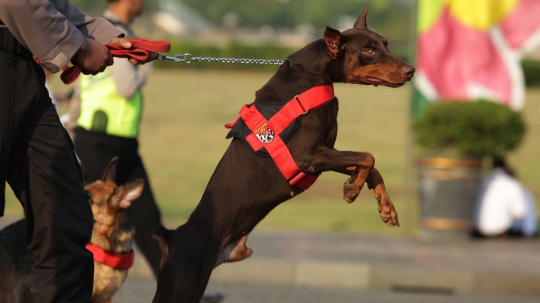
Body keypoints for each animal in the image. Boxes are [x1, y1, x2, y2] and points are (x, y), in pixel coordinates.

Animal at [154, 5, 416, 303]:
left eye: (385, 44)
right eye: (368, 50)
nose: (411, 70)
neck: (310, 74)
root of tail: (171, 240)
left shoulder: (325, 152)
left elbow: (370, 165)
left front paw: (385, 206)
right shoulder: (307, 155)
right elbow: (368, 156)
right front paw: (352, 189)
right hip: (184, 282)